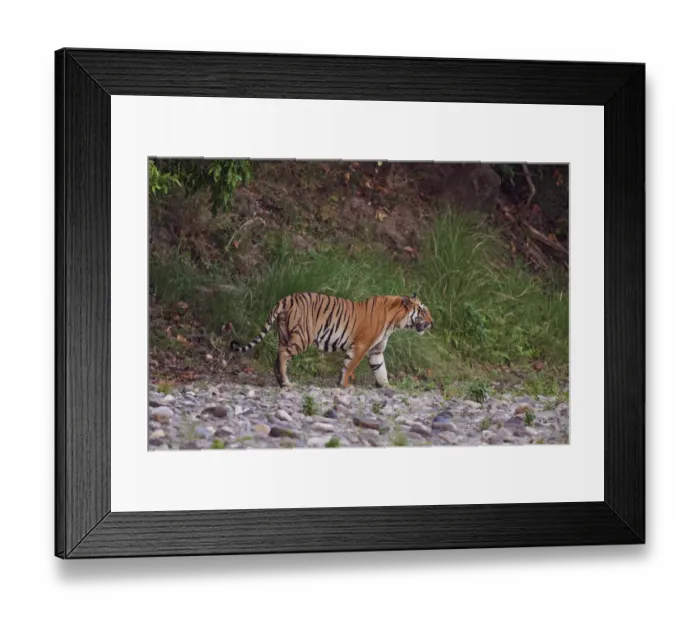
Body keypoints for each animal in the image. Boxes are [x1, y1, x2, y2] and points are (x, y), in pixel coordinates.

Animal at [230, 292, 433, 388]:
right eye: (423, 311)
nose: (432, 322)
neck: (394, 322)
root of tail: (287, 298)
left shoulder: (376, 351)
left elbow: (380, 370)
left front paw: (387, 387)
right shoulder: (360, 346)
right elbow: (350, 366)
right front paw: (345, 385)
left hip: (284, 334)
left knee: (278, 356)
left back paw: (281, 381)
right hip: (302, 336)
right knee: (283, 354)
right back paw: (286, 383)